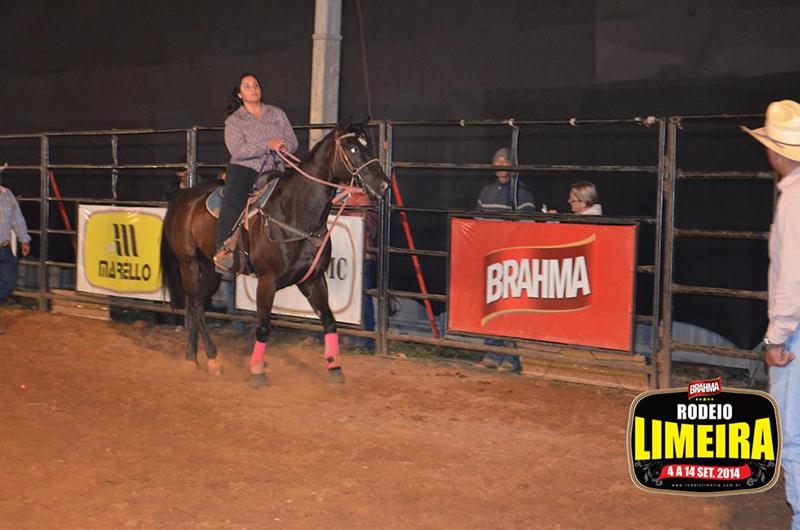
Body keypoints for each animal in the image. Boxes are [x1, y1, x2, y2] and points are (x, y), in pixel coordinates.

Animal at [160, 122, 389, 387]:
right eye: (351, 147)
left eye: (368, 144)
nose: (383, 184)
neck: (295, 214)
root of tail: (182, 197)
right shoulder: (267, 282)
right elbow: (263, 327)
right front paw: (257, 372)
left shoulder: (313, 279)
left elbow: (329, 321)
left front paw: (334, 368)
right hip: (188, 263)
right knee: (195, 305)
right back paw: (213, 358)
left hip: (211, 268)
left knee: (197, 305)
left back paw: (193, 357)